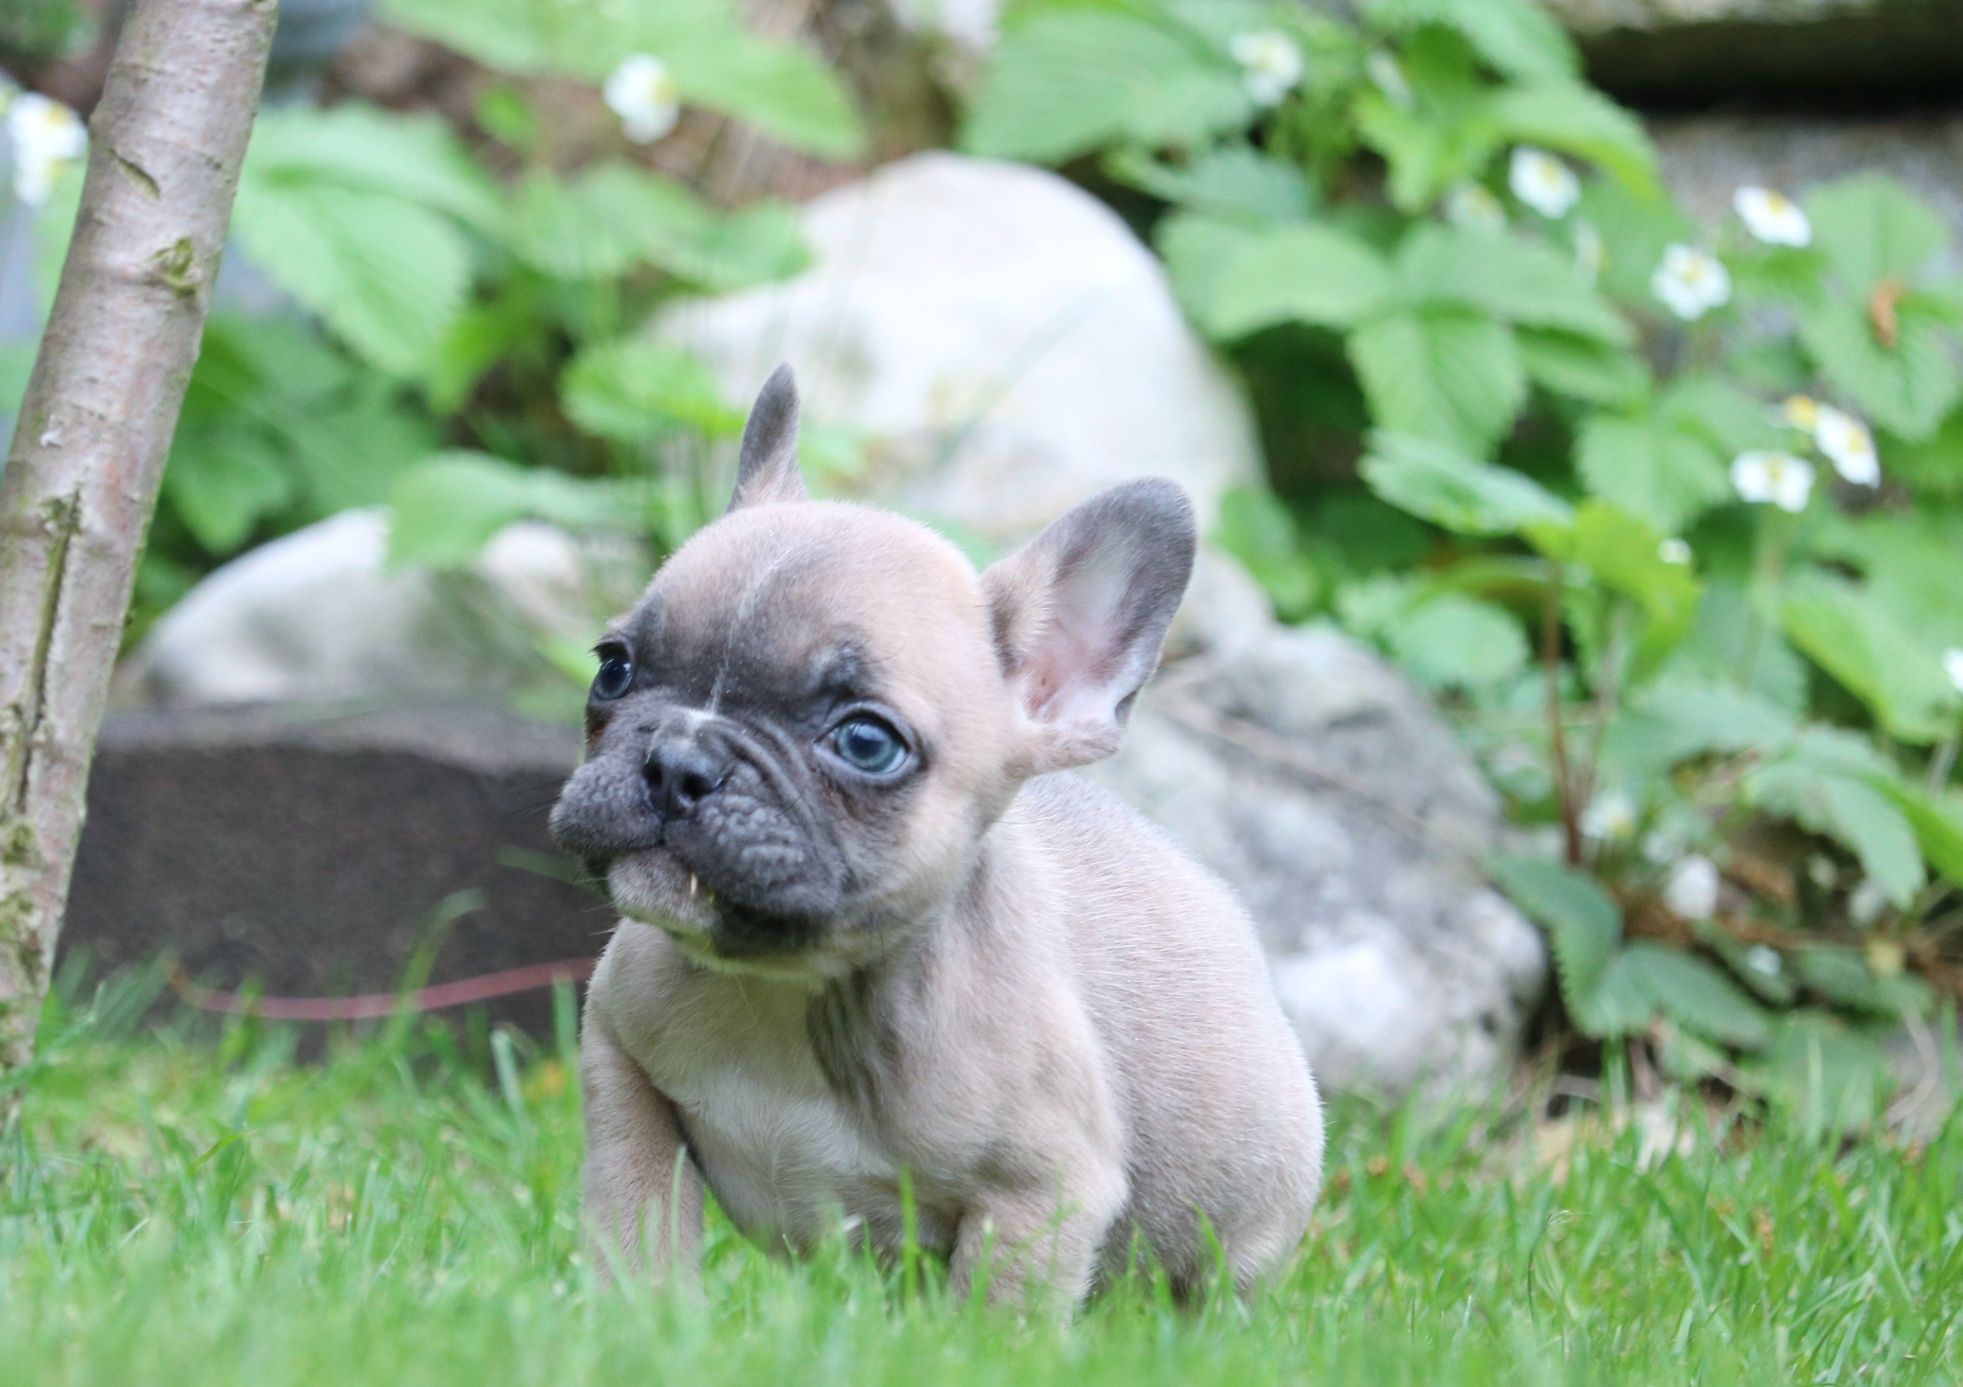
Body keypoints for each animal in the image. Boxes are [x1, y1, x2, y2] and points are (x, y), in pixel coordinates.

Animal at [549, 362, 1319, 1310]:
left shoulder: (1043, 1194)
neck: (788, 990)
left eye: (865, 742)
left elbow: (996, 1312)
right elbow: (638, 1212)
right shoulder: (622, 1068)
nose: (677, 761)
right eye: (612, 668)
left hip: (1240, 1231)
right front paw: (642, 1313)